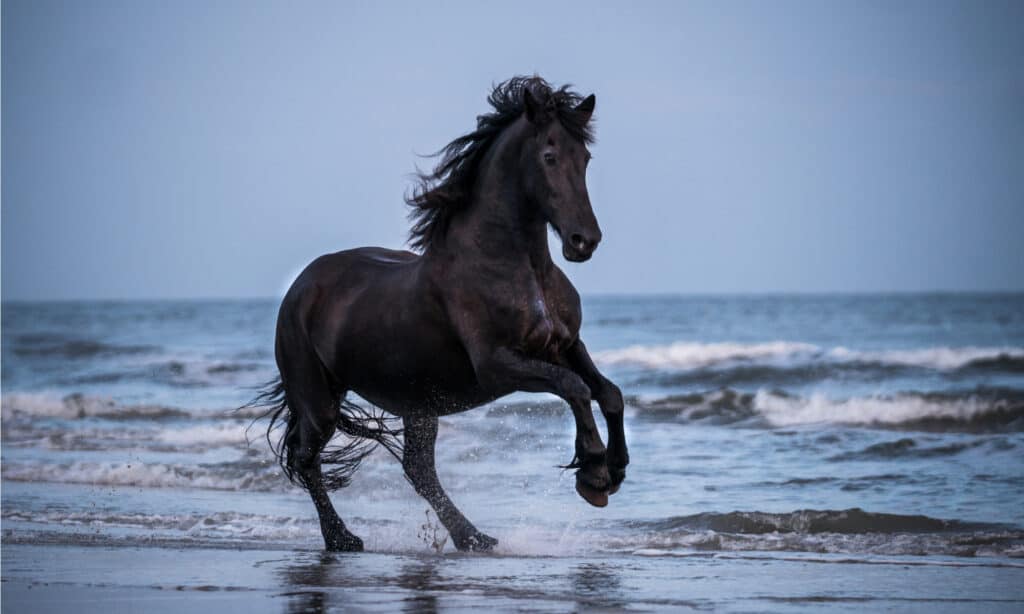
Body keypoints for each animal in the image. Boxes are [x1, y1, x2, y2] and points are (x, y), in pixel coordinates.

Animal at [252, 75, 626, 552]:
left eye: (586, 158)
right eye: (549, 156)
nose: (584, 241)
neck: (516, 266)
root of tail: (299, 288)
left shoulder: (565, 344)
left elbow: (608, 392)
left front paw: (617, 469)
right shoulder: (498, 366)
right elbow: (575, 388)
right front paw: (594, 475)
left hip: (417, 401)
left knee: (418, 469)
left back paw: (473, 537)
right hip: (319, 400)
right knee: (306, 459)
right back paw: (343, 538)